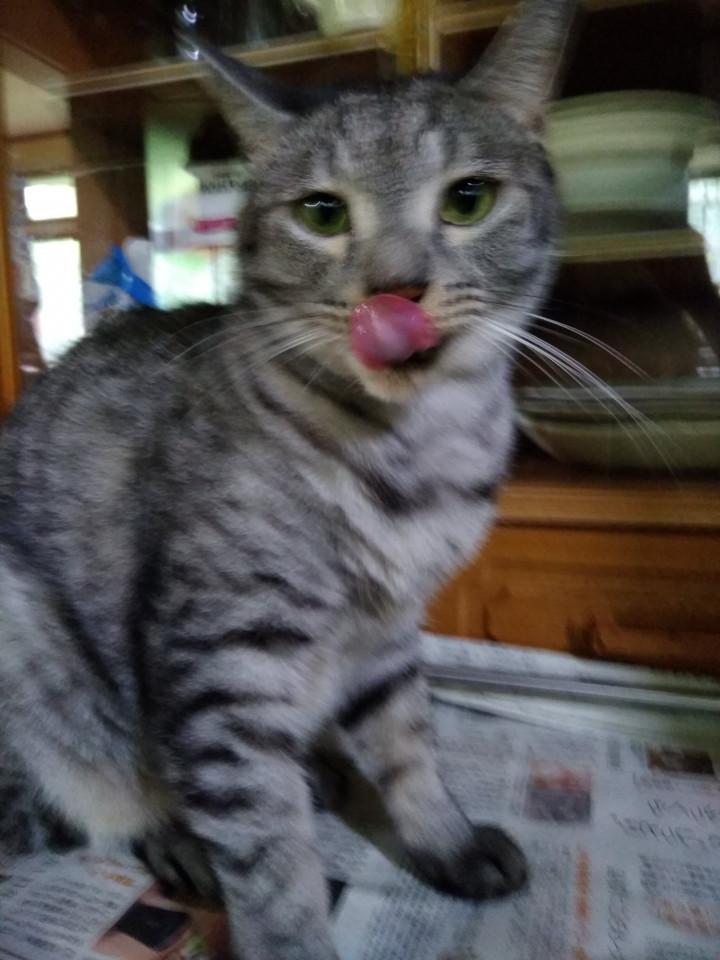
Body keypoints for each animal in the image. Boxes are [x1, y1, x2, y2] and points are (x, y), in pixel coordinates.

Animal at [0, 1, 575, 957]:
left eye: (469, 199)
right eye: (322, 213)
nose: (396, 291)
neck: (418, 452)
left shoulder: (388, 635)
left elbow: (411, 747)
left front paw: (446, 841)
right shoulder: (225, 661)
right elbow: (273, 866)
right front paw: (295, 931)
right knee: (103, 794)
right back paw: (176, 833)